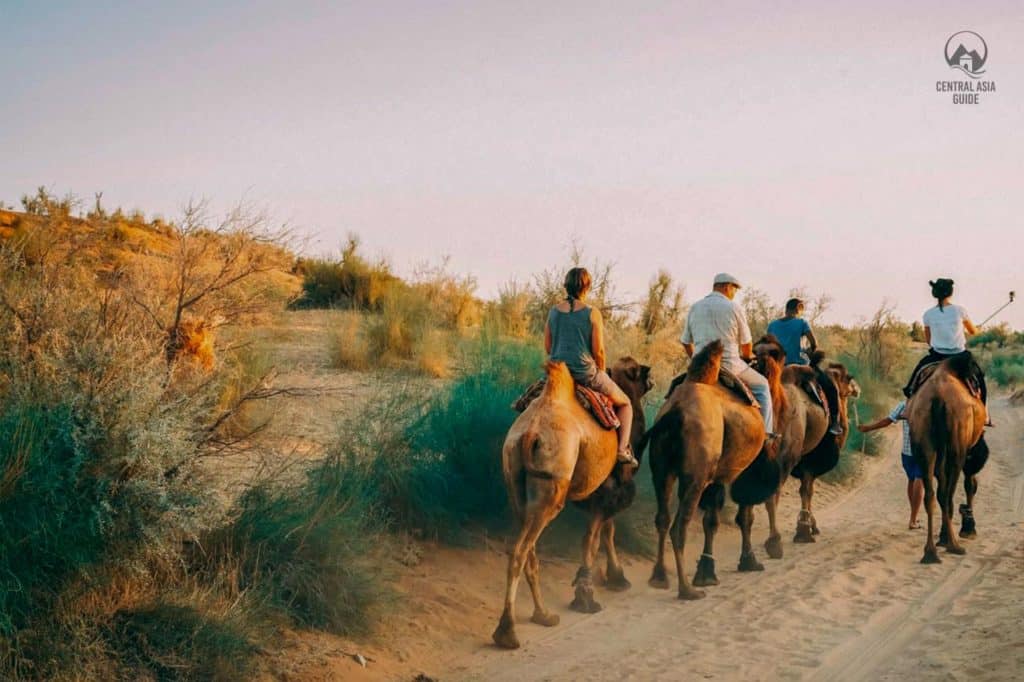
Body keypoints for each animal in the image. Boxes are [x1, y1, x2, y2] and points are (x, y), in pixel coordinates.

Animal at [493, 352, 651, 647]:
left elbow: (604, 532)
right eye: (638, 370)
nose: (651, 374)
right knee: (520, 551)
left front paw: (613, 578)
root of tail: (529, 434)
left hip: (516, 486)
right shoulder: (609, 489)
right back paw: (508, 631)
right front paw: (588, 594)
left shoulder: (601, 493)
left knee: (528, 551)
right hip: (551, 492)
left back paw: (543, 615)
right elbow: (593, 539)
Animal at [643, 339, 765, 593]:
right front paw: (748, 561)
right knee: (679, 526)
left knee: (662, 518)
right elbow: (743, 515)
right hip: (696, 477)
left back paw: (660, 577)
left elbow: (711, 520)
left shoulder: (717, 475)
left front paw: (707, 571)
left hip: (662, 471)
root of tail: (674, 413)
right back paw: (686, 590)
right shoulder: (742, 471)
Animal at [909, 352, 987, 561]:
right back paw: (953, 544)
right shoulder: (969, 448)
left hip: (923, 442)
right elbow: (970, 483)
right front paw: (968, 528)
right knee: (948, 494)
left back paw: (930, 552)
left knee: (931, 494)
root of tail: (937, 399)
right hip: (957, 445)